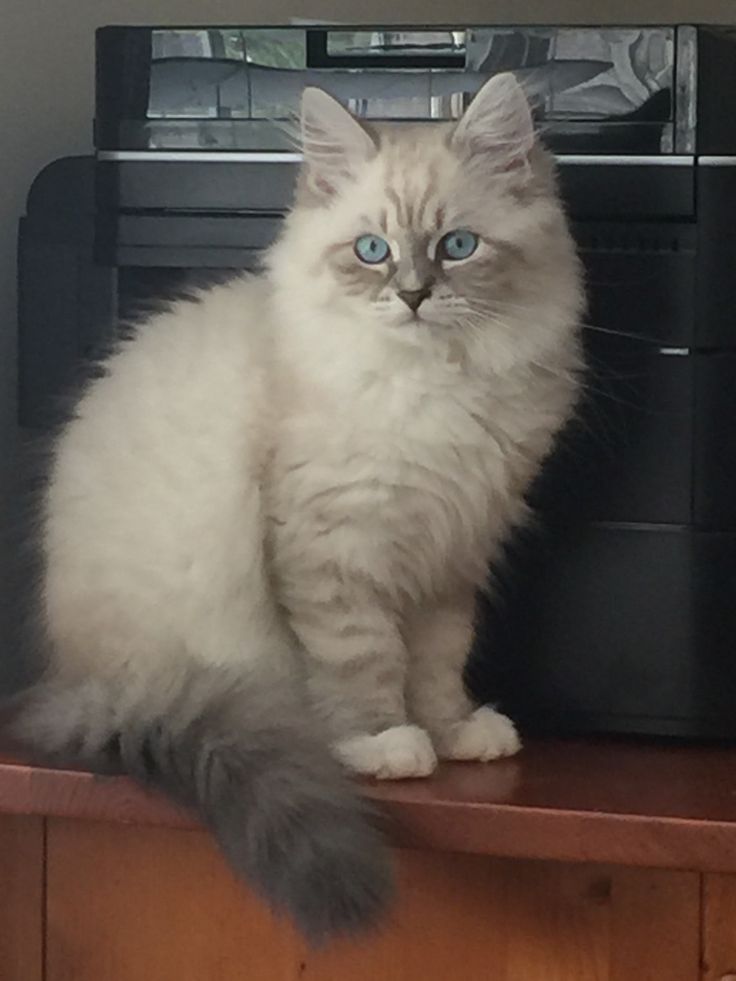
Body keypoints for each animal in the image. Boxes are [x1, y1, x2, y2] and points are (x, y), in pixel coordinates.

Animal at [8, 74, 584, 940]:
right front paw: (388, 744)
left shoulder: (449, 555)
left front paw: (456, 733)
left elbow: (439, 663)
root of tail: (73, 683)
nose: (414, 296)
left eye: (457, 247)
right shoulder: (335, 549)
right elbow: (366, 661)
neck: (437, 388)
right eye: (372, 252)